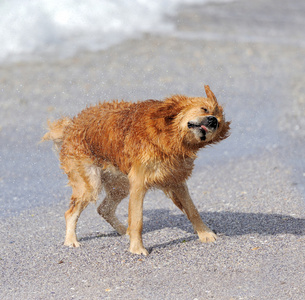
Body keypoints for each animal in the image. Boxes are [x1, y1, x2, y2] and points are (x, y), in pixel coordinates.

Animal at [41, 85, 229, 255]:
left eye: (219, 123)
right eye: (204, 109)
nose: (213, 121)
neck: (167, 136)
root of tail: (70, 126)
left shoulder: (176, 180)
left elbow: (192, 210)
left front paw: (205, 234)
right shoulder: (139, 182)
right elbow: (137, 220)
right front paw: (137, 249)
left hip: (120, 185)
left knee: (104, 209)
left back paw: (124, 231)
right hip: (91, 184)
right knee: (71, 212)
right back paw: (71, 240)